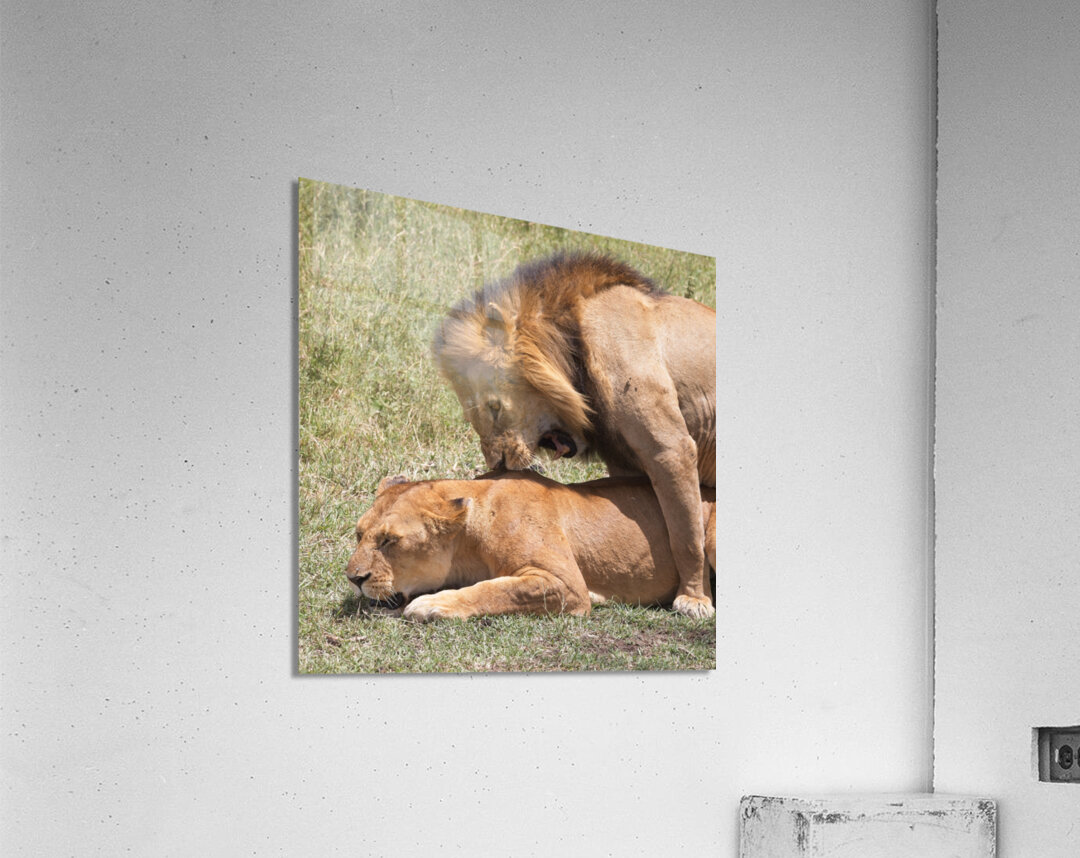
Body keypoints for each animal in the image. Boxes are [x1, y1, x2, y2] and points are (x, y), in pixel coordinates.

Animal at [345, 471, 717, 622]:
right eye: (358, 534)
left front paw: (431, 605)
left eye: (390, 540)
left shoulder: (566, 584)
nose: (353, 578)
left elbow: (495, 590)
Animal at [432, 253, 716, 618]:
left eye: (494, 408)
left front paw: (694, 600)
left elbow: (687, 533)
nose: (498, 463)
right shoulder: (627, 466)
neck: (574, 341)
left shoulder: (671, 448)